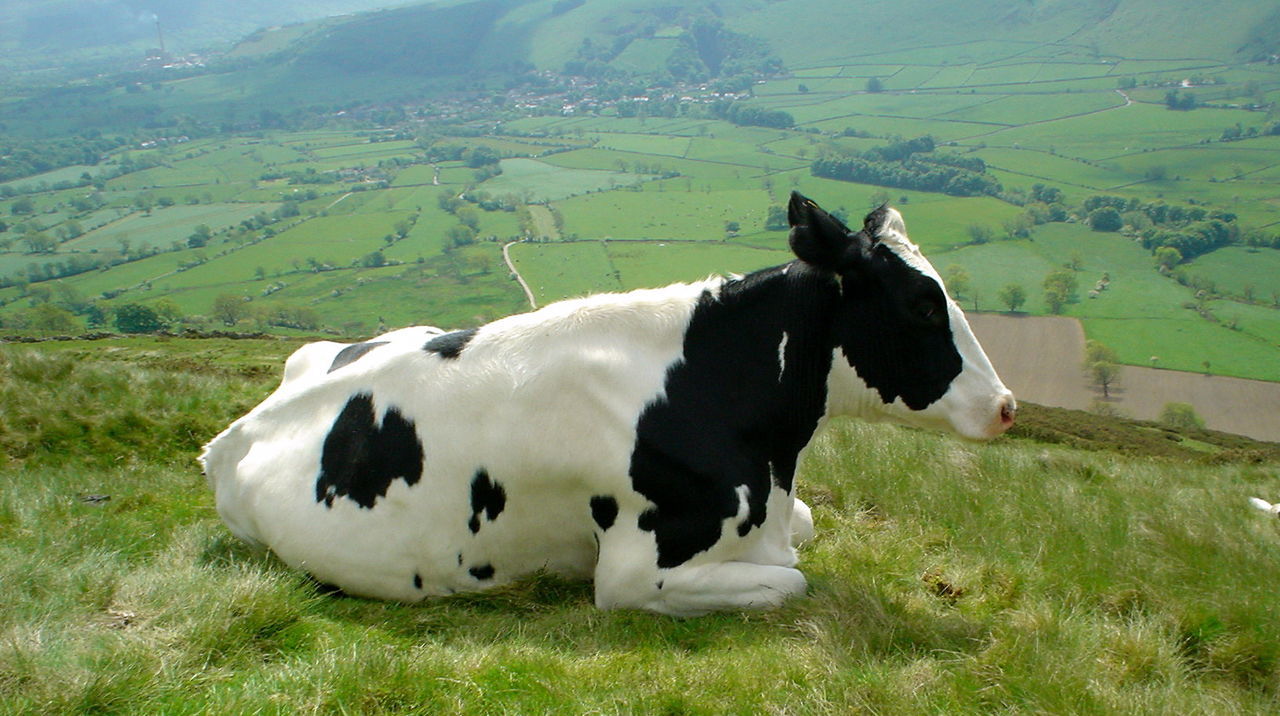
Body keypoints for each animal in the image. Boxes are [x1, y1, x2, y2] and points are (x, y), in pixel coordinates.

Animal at [202, 194, 1018, 617]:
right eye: (922, 304)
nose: (1008, 405)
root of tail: (229, 435)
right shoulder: (632, 574)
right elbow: (792, 581)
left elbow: (808, 536)